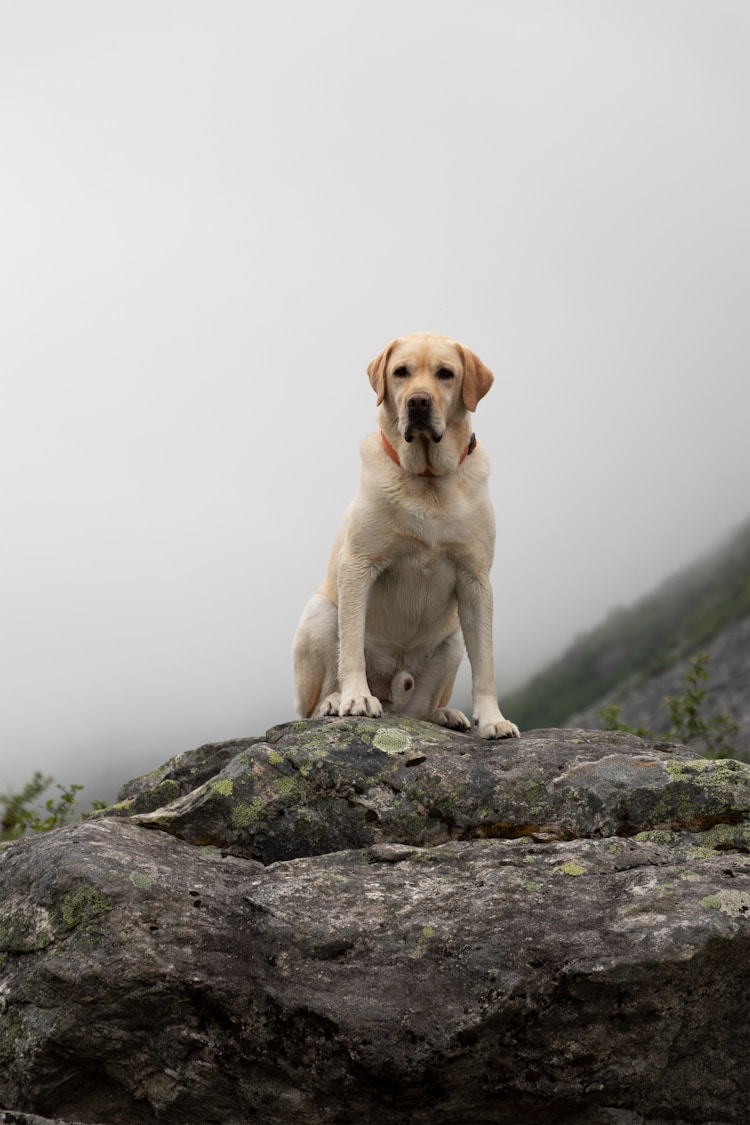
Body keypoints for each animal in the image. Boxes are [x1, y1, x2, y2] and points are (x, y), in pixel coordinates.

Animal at [292, 328, 521, 742]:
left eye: (445, 373)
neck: (428, 480)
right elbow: (351, 645)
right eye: (401, 372)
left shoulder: (476, 580)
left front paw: (492, 719)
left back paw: (444, 714)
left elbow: (486, 663)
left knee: (419, 711)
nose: (418, 401)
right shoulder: (358, 565)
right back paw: (334, 701)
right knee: (312, 706)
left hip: (451, 642)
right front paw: (355, 697)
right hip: (320, 614)